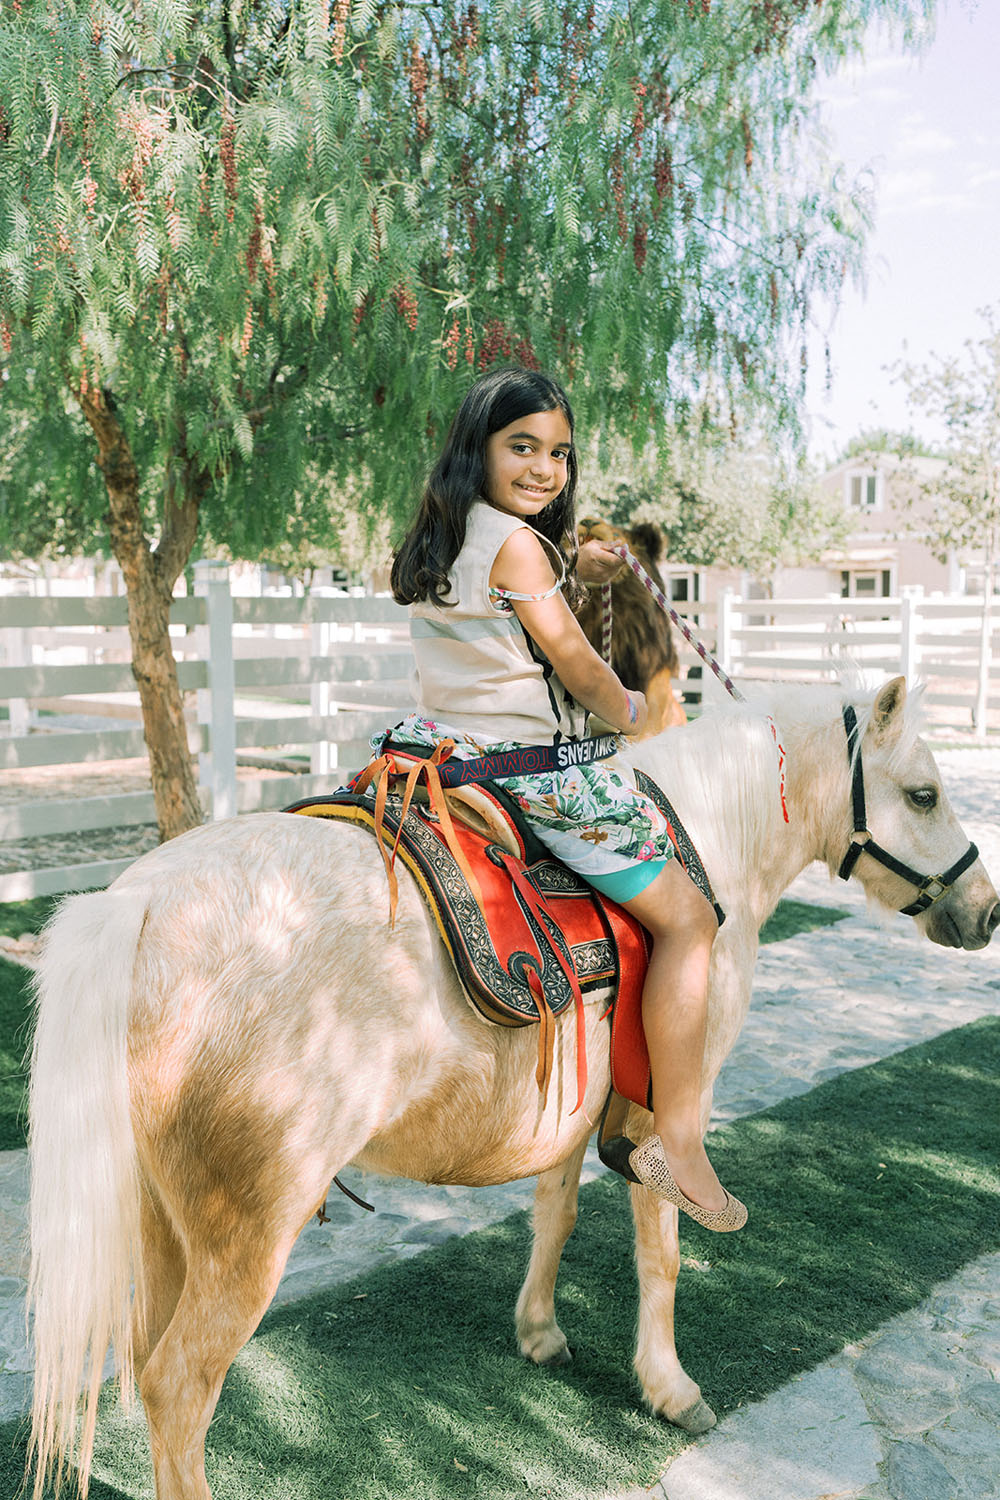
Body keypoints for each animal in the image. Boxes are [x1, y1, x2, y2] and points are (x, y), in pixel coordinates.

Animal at [27, 681, 995, 1500]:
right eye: (922, 796)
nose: (985, 910)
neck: (713, 835)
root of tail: (142, 905)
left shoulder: (571, 1111)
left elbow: (554, 1215)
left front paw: (538, 1332)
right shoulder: (665, 1118)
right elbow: (663, 1253)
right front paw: (669, 1386)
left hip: (161, 1219)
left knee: (143, 1365)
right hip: (249, 1231)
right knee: (179, 1387)